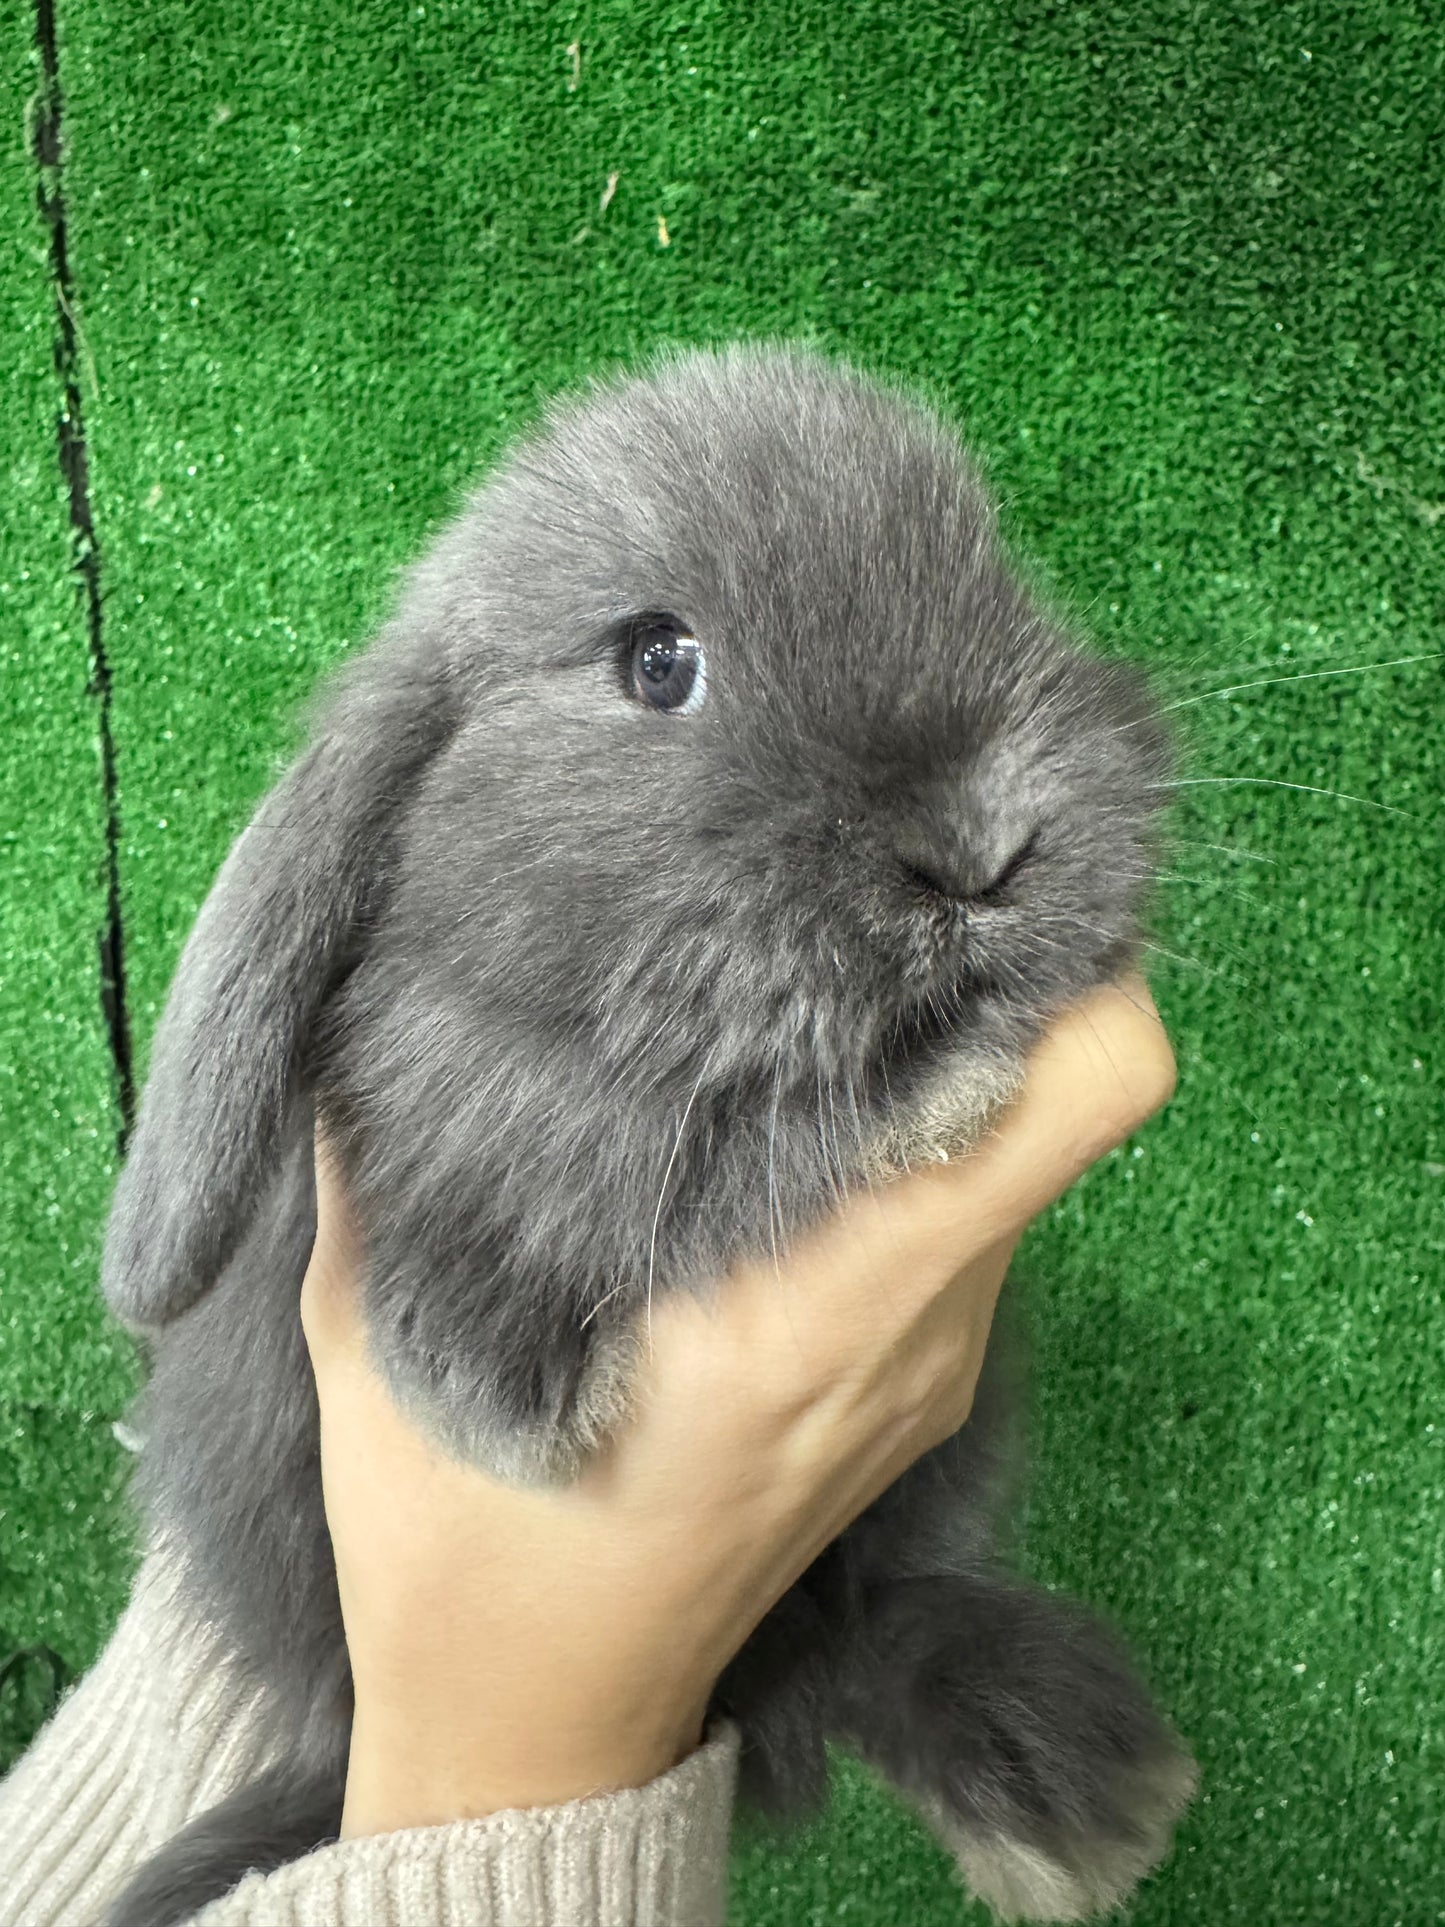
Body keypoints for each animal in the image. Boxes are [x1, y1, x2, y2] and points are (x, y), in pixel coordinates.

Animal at [96, 342, 1195, 1927]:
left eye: (993, 562)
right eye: (655, 661)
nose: (980, 847)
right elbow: (690, 1172)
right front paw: (500, 1380)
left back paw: (1063, 1785)